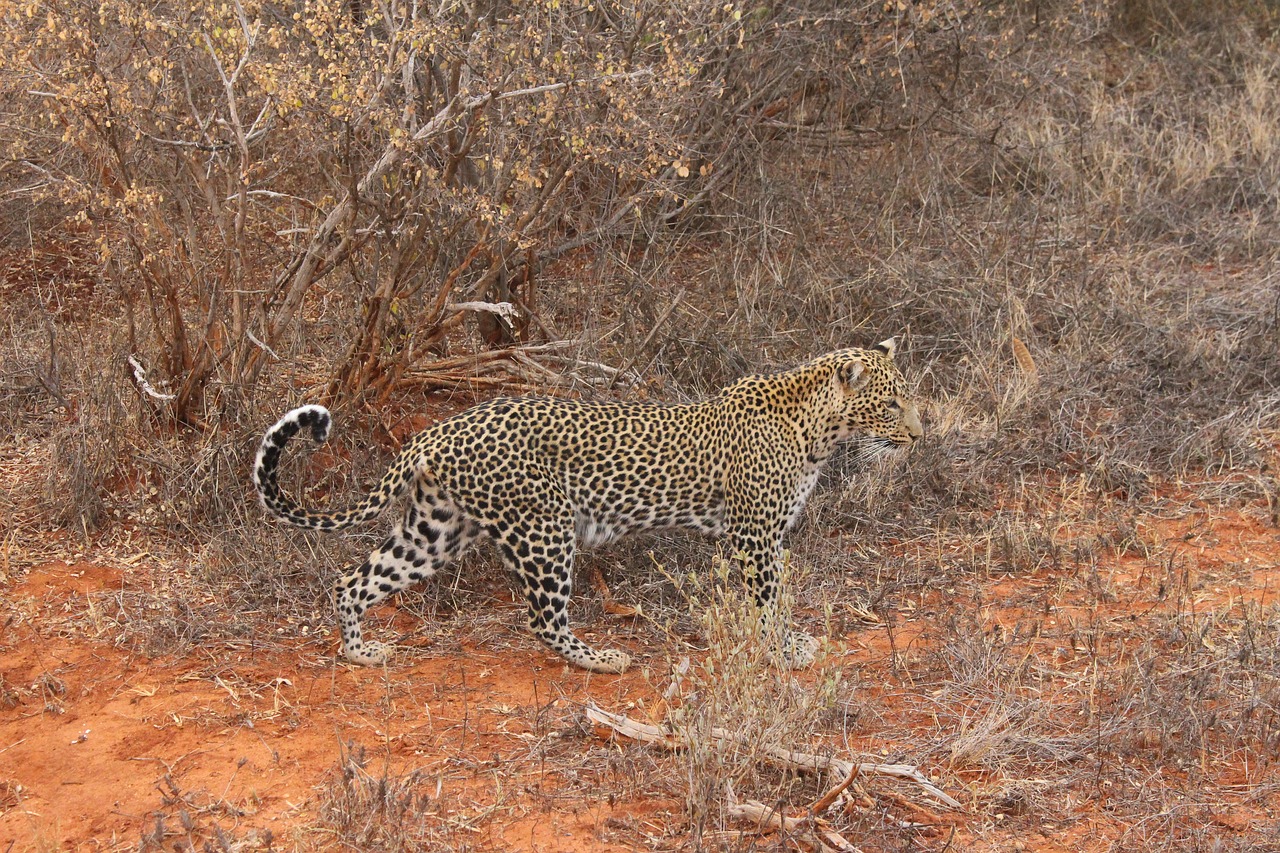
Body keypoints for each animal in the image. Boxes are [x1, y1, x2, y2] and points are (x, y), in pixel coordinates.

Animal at [254, 338, 926, 671]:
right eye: (893, 405)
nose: (921, 436)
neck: (819, 431)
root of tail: (438, 429)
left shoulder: (760, 538)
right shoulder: (756, 538)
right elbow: (770, 603)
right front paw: (785, 653)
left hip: (437, 529)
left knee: (353, 580)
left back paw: (359, 651)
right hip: (545, 529)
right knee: (542, 620)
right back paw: (601, 659)